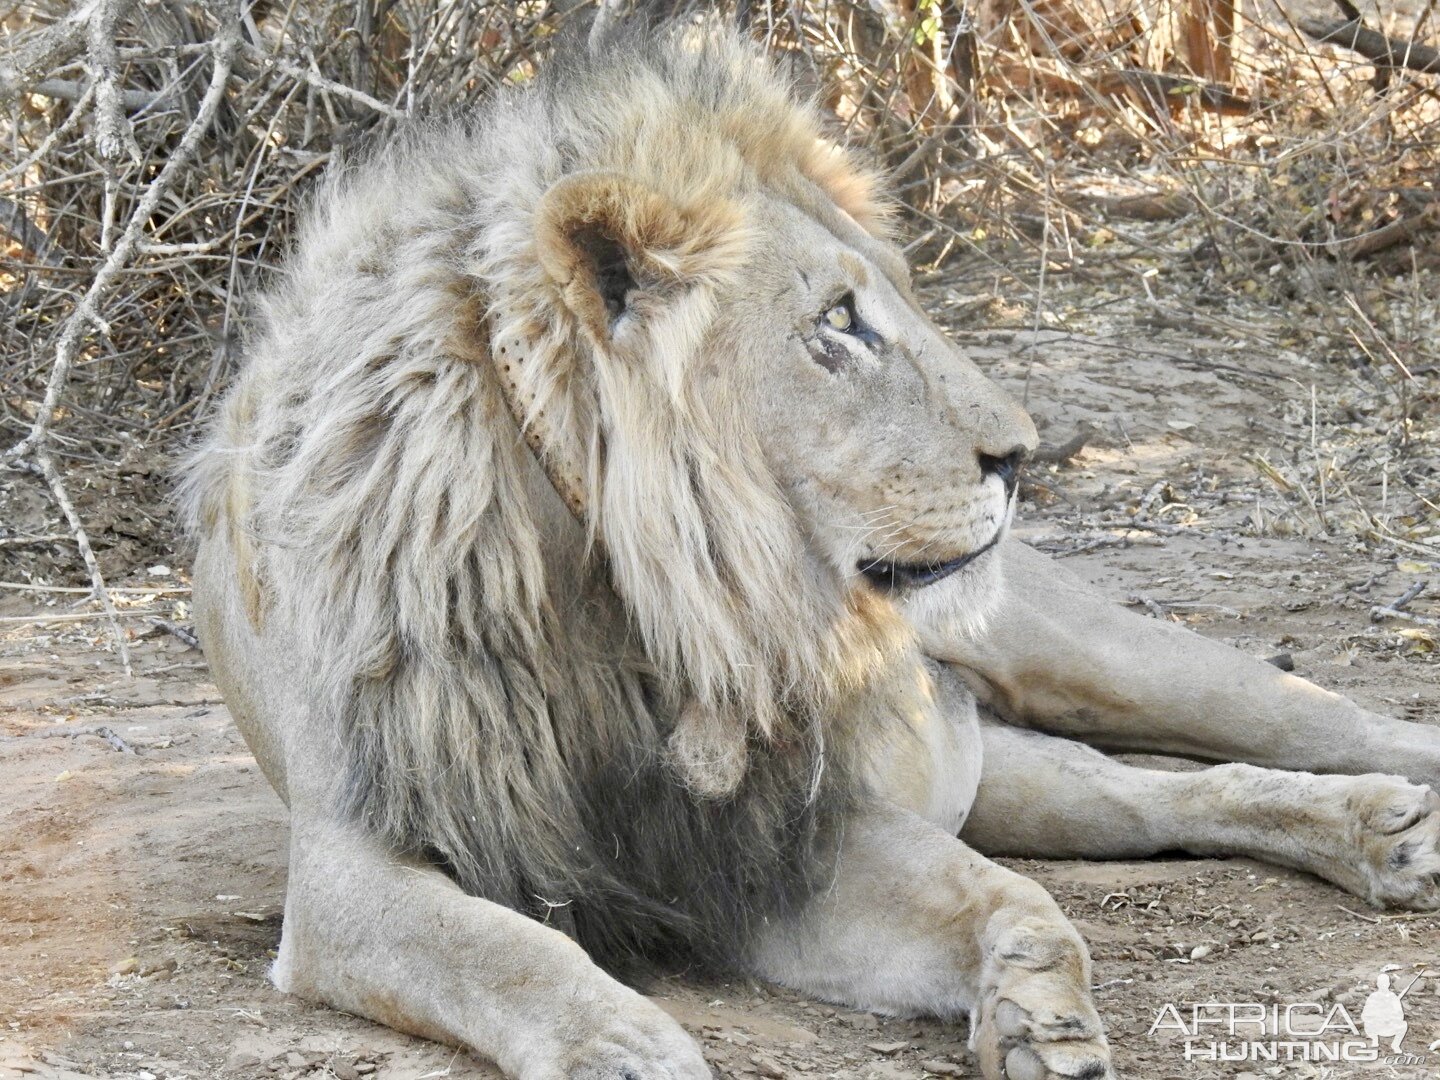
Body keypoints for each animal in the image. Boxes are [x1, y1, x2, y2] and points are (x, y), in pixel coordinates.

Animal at [185, 10, 1440, 1080]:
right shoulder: (352, 869)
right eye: (839, 324)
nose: (1021, 456)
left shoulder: (781, 838)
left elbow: (1006, 902)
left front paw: (1035, 1010)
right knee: (1149, 802)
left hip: (1088, 658)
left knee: (1297, 719)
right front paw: (626, 1050)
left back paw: (1390, 816)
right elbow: (506, 950)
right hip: (1004, 770)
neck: (641, 604)